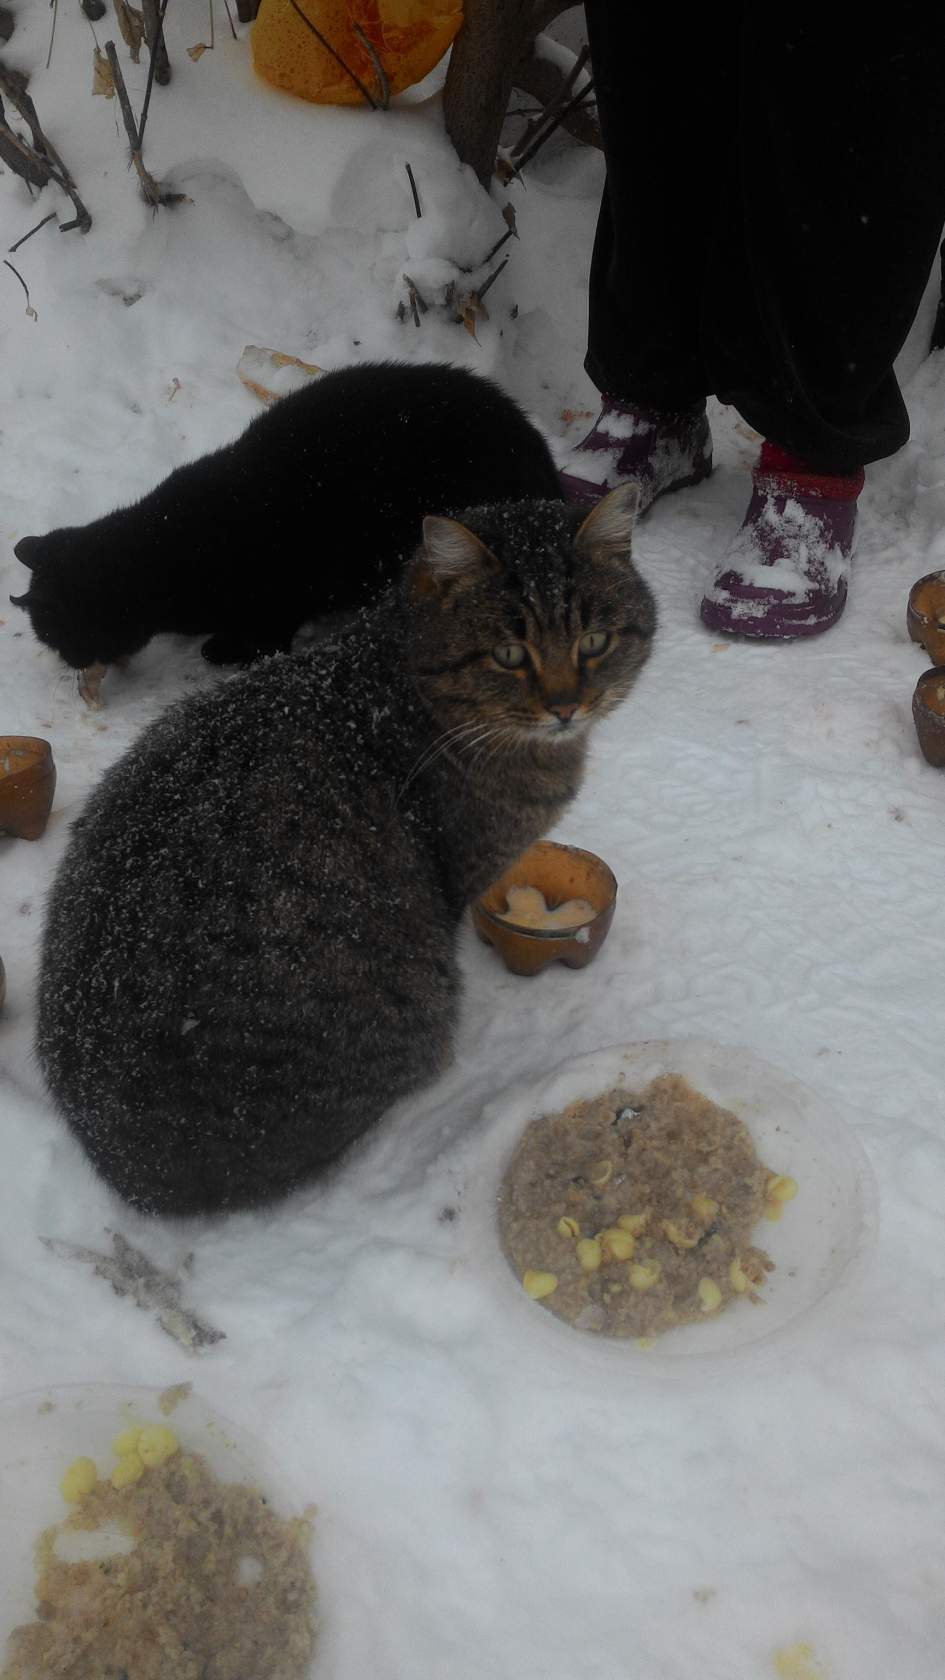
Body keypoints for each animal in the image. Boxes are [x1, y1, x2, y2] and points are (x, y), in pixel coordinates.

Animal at [11, 364, 554, 672]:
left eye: (54, 636)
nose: (70, 665)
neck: (160, 555)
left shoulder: (276, 601)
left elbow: (262, 639)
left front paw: (226, 649)